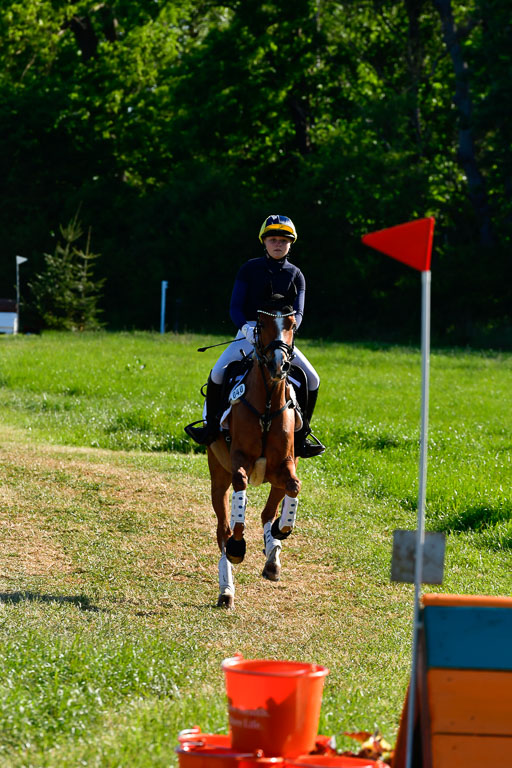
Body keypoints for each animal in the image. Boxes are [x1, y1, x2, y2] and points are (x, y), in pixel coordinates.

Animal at [207, 300, 302, 608]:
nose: (279, 364)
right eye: (261, 323)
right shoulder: (239, 461)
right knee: (222, 530)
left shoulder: (284, 465)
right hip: (218, 477)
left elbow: (293, 488)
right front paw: (239, 546)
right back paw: (226, 588)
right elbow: (240, 492)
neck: (268, 401)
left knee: (266, 513)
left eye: (291, 324)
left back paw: (273, 555)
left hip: (274, 479)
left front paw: (282, 531)